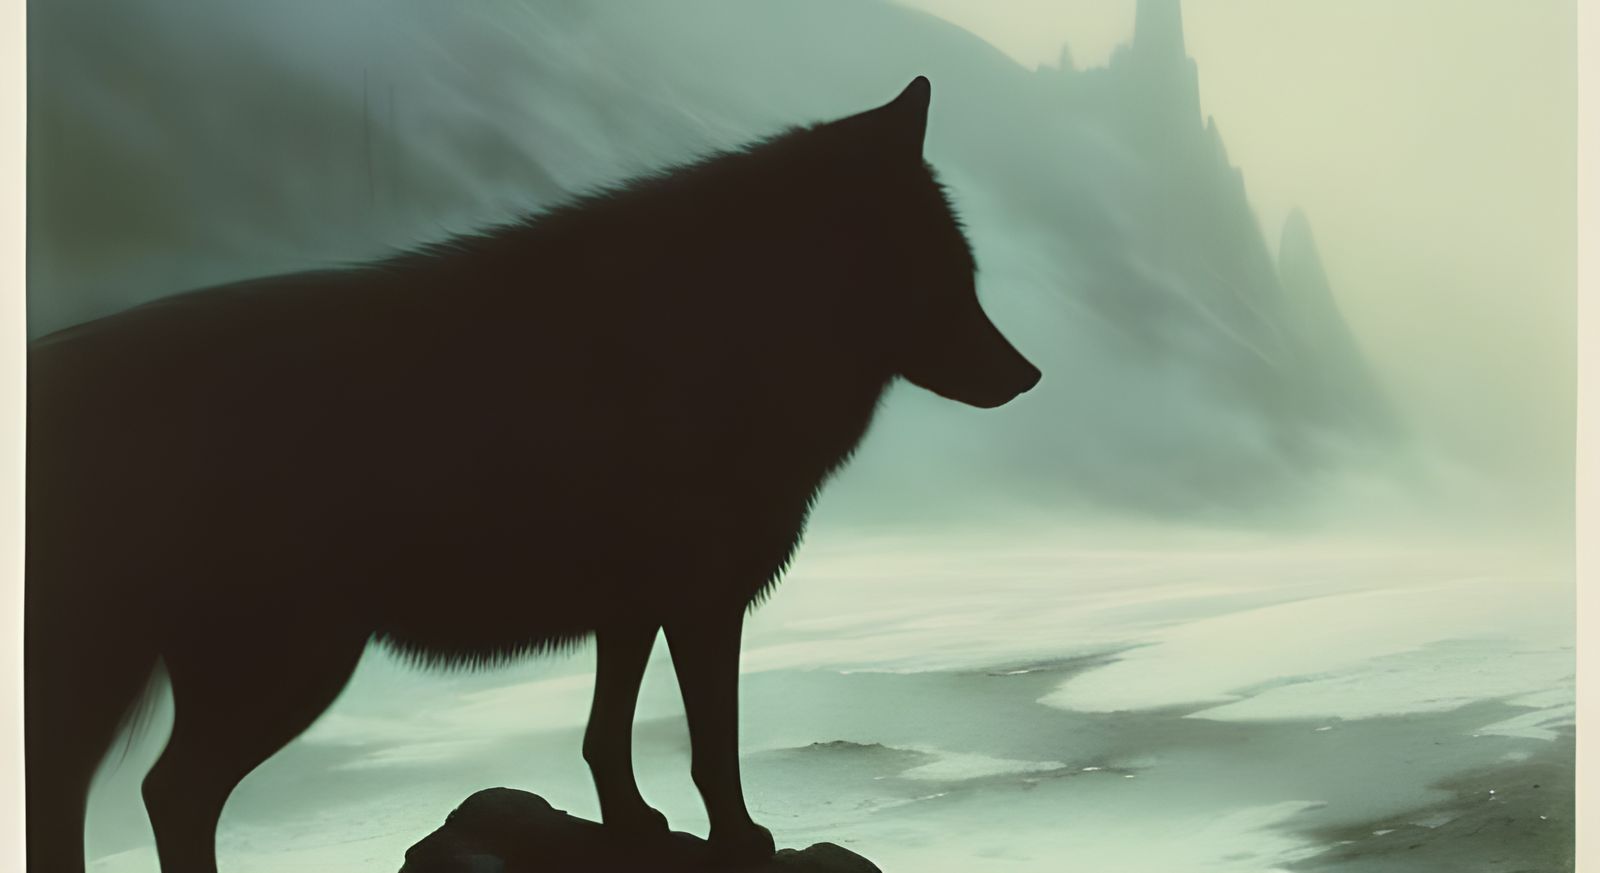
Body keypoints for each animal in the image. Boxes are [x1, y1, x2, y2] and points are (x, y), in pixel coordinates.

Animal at [24, 76, 1040, 872]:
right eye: (950, 274)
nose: (1028, 375)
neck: (731, 333)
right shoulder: (703, 601)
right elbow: (714, 745)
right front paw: (741, 838)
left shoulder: (631, 608)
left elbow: (605, 734)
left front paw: (632, 825)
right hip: (288, 662)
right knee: (172, 791)